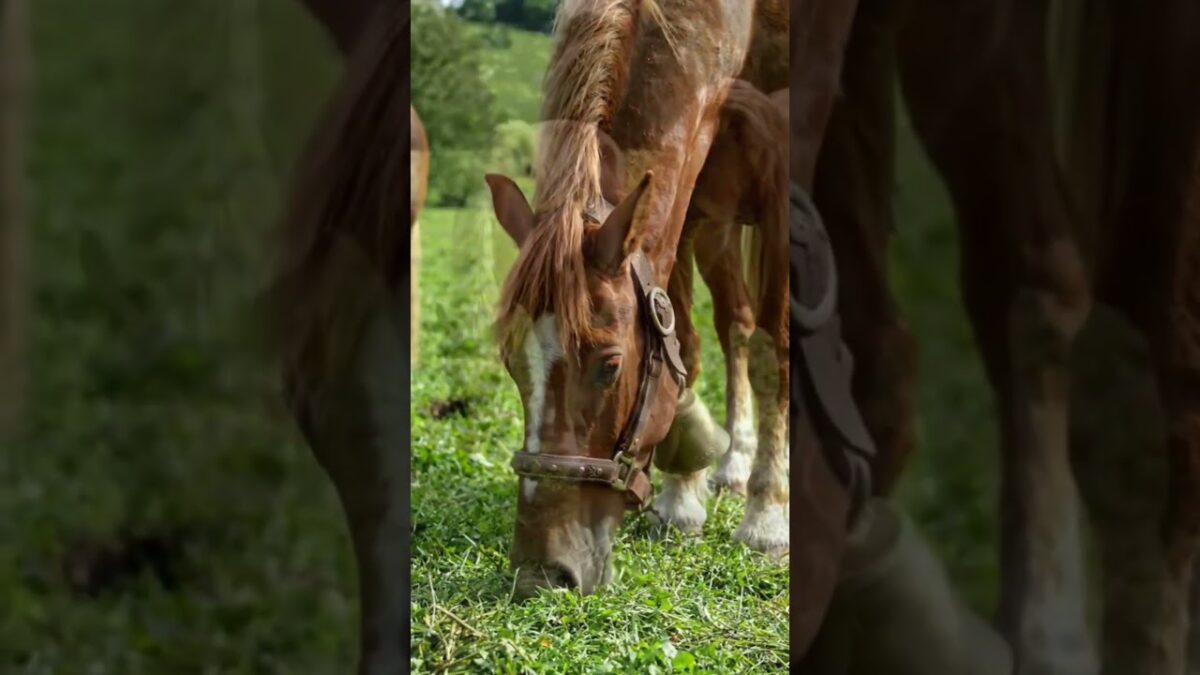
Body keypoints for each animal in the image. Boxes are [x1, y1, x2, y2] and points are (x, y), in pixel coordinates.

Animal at [483, 0, 789, 599]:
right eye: (511, 364)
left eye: (609, 366)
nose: (542, 572)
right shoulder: (688, 203)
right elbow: (684, 344)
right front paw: (682, 495)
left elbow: (775, 356)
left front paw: (767, 519)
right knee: (735, 326)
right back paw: (735, 460)